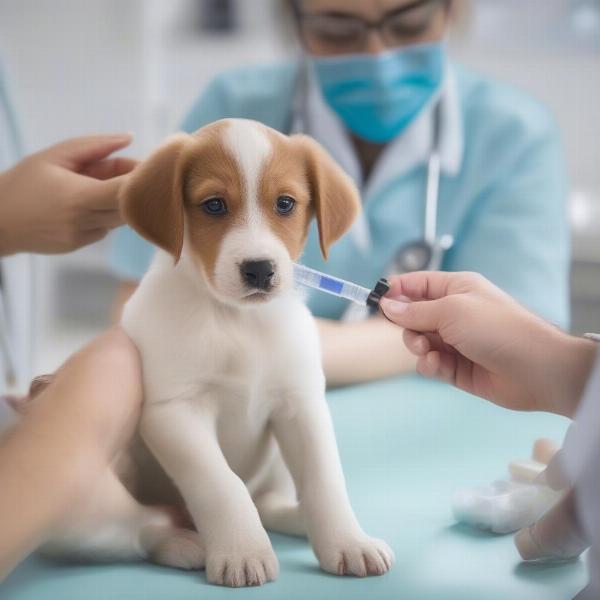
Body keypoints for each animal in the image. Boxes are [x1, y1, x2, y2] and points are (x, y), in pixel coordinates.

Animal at [41, 119, 394, 588]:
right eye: (213, 205)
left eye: (285, 203)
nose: (260, 269)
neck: (237, 322)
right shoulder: (174, 411)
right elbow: (222, 484)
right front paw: (242, 550)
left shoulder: (301, 405)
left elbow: (324, 481)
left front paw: (347, 541)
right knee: (141, 526)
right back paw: (182, 543)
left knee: (266, 501)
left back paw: (297, 518)